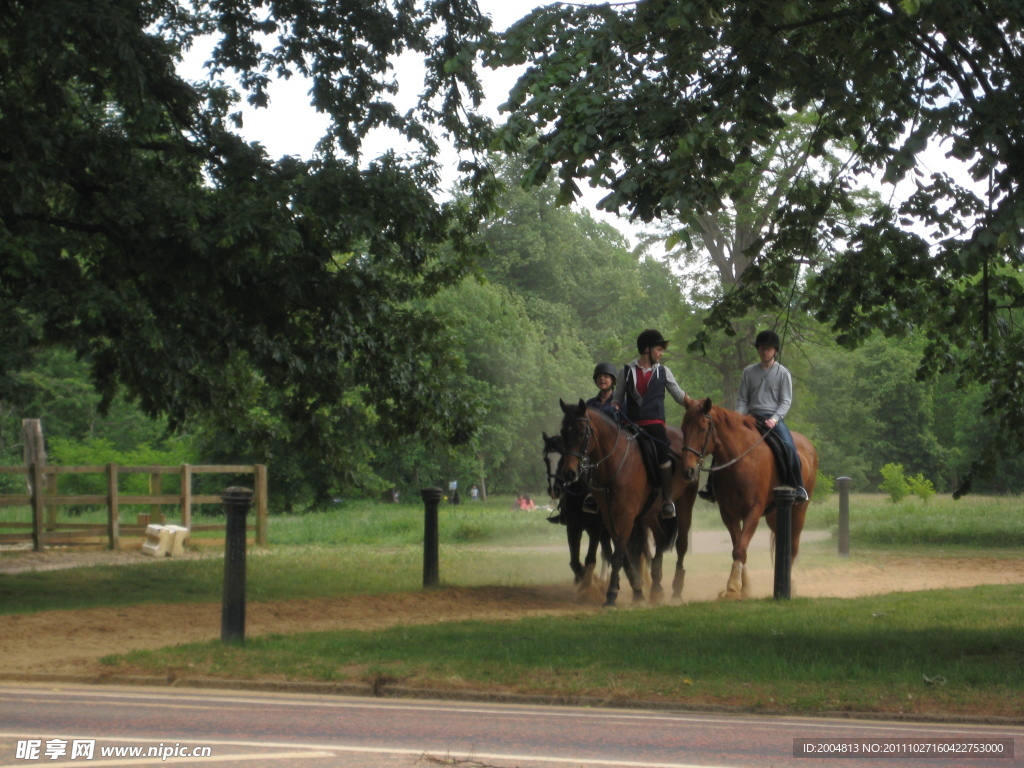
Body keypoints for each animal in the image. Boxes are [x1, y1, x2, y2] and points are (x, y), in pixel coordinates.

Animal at [557, 397, 700, 606]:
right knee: (660, 538)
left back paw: (676, 591)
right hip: (649, 513)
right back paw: (656, 588)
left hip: (685, 502)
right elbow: (621, 555)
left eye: (582, 432)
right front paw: (636, 591)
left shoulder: (625, 517)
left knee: (681, 544)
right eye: (563, 433)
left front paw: (611, 596)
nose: (569, 473)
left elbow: (618, 556)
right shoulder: (608, 519)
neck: (615, 463)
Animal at [679, 397, 815, 602]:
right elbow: (738, 547)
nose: (688, 470)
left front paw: (733, 587)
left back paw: (790, 585)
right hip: (774, 516)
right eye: (683, 428)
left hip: (798, 512)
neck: (740, 460)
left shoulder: (753, 511)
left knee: (793, 546)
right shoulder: (728, 513)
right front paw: (745, 588)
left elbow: (740, 549)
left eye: (702, 429)